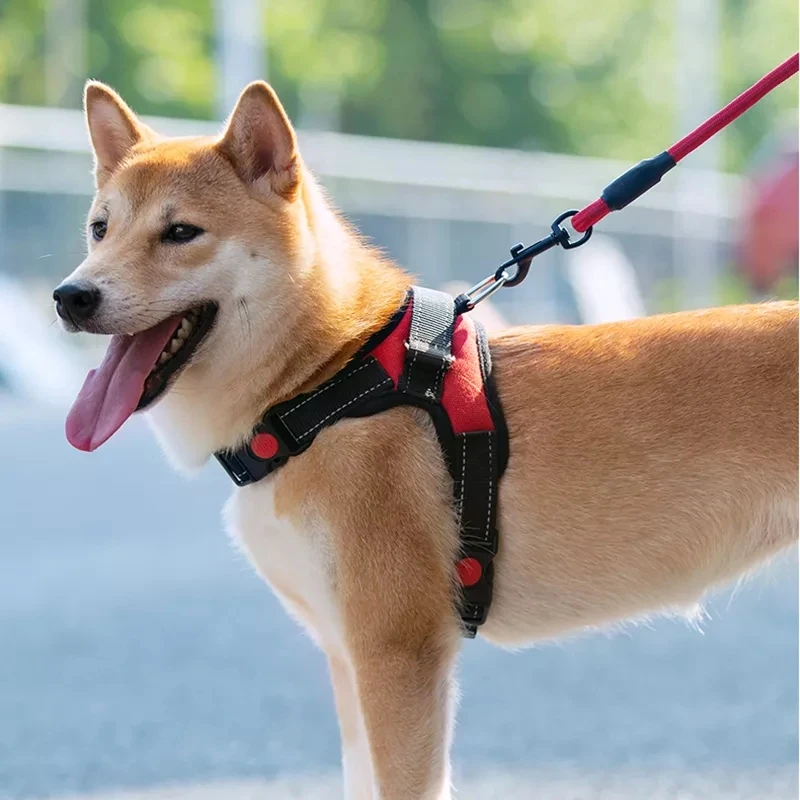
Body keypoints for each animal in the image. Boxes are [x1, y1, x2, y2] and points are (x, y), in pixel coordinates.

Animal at [53, 83, 796, 800]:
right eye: (100, 228)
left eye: (181, 232)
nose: (70, 296)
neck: (327, 381)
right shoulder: (349, 659)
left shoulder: (397, 656)